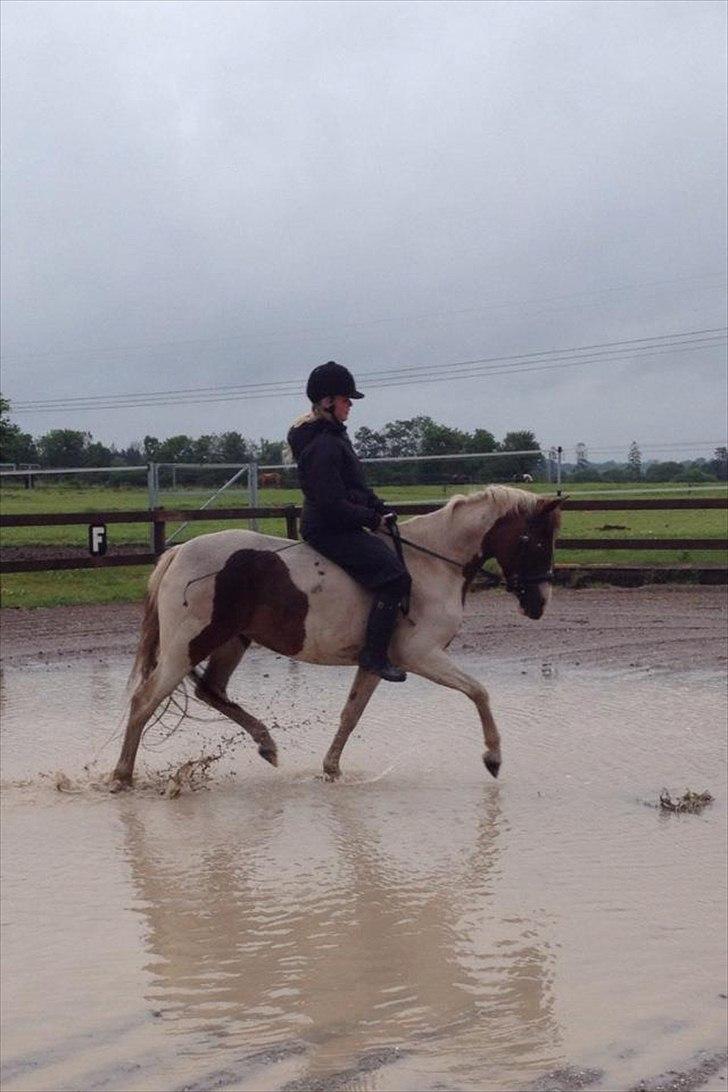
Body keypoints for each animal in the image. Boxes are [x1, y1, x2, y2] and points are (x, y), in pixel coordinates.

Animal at [109, 489, 563, 794]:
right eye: (537, 541)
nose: (540, 603)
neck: (431, 563)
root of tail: (178, 553)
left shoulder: (376, 662)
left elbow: (351, 714)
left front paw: (330, 770)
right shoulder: (421, 656)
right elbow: (479, 692)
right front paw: (493, 757)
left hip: (233, 641)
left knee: (211, 690)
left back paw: (266, 744)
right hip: (188, 646)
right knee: (145, 701)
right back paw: (121, 777)